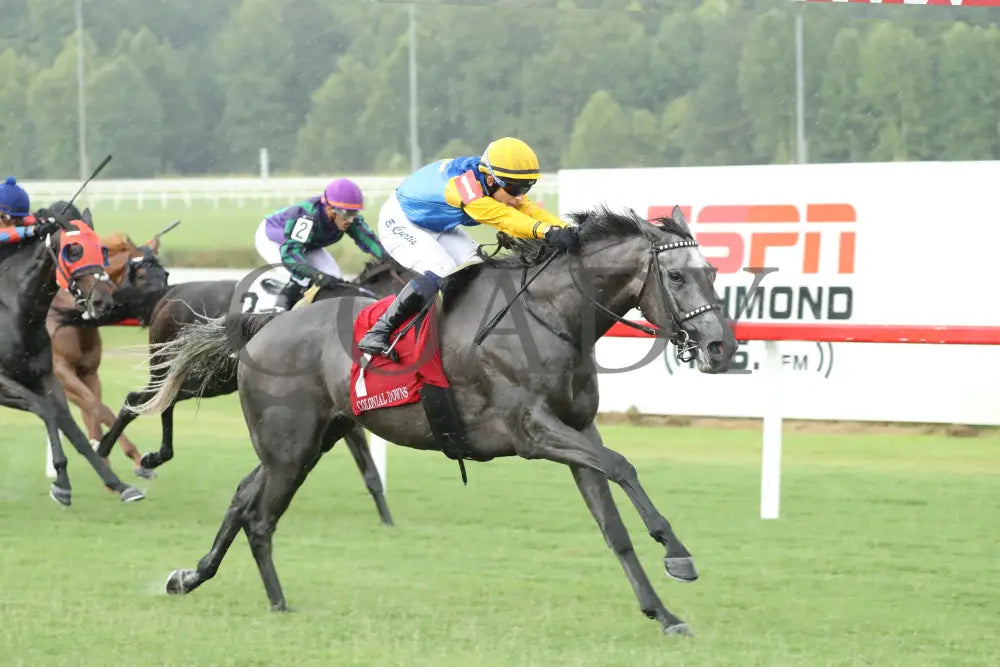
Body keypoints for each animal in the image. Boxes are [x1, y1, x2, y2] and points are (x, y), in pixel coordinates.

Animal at [45, 232, 168, 478]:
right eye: (141, 275)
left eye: (165, 274)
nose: (161, 305)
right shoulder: (60, 371)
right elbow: (100, 408)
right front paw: (100, 446)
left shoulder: (88, 373)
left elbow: (94, 408)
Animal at [133, 207, 736, 636]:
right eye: (677, 276)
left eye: (711, 272)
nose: (721, 347)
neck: (549, 316)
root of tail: (257, 328)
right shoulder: (534, 432)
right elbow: (623, 465)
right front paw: (677, 553)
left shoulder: (577, 430)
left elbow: (614, 527)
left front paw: (663, 613)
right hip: (292, 448)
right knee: (260, 517)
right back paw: (277, 602)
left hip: (309, 440)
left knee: (241, 496)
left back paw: (190, 577)